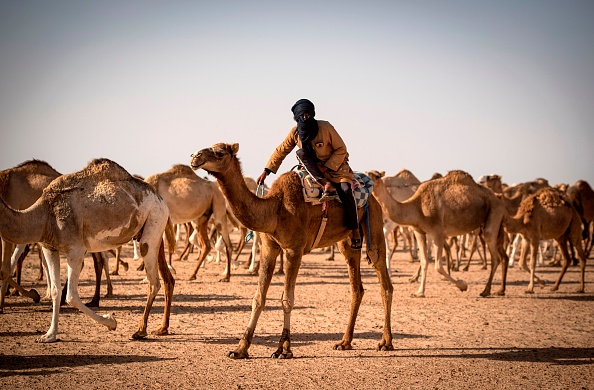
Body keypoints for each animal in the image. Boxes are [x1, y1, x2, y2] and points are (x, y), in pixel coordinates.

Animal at [0, 158, 175, 342]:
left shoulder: (75, 250)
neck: (45, 214)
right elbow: (55, 290)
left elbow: (71, 296)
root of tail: (161, 200)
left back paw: (141, 330)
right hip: (151, 231)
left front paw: (111, 321)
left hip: (153, 222)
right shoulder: (49, 248)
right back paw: (162, 328)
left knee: (153, 282)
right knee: (167, 279)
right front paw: (49, 335)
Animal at [190, 143, 394, 360]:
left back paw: (385, 342)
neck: (274, 209)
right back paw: (344, 342)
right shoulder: (269, 248)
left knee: (384, 281)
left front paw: (284, 349)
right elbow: (258, 298)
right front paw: (240, 349)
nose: (195, 156)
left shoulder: (294, 250)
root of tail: (372, 196)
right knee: (356, 287)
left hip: (374, 223)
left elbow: (287, 299)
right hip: (348, 242)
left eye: (220, 152)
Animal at [366, 169, 508, 298]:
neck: (416, 206)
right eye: (365, 174)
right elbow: (424, 261)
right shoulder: (419, 231)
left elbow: (438, 266)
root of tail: (499, 198)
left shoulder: (437, 233)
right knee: (502, 256)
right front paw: (419, 292)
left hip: (495, 212)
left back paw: (486, 291)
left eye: (377, 176)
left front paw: (462, 285)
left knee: (495, 257)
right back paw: (500, 290)